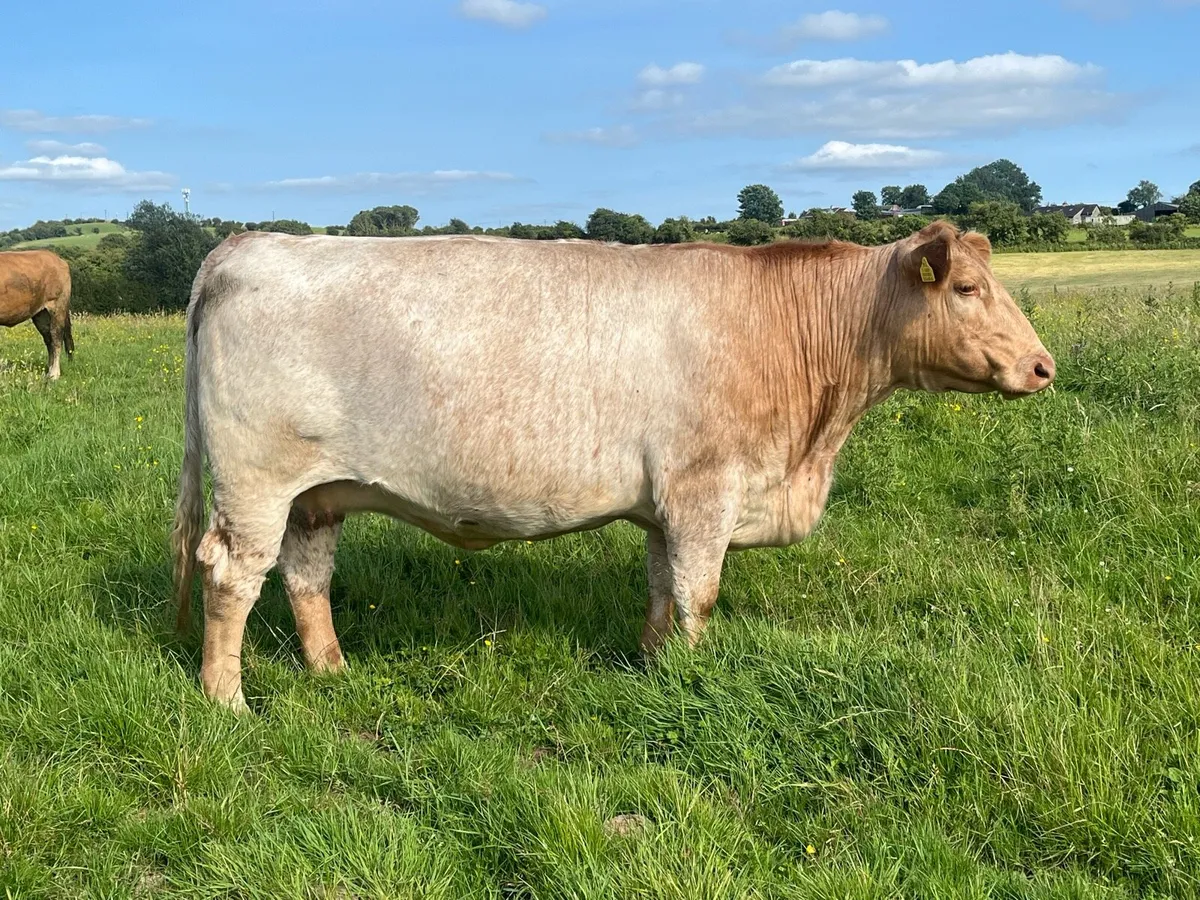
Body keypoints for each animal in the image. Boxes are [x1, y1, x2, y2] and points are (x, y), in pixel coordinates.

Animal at [0, 249, 74, 380]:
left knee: (56, 338)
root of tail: (57, 258)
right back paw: (48, 371)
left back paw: (54, 374)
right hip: (41, 314)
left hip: (58, 305)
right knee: (49, 339)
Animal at [171, 221, 1055, 712]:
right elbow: (700, 593)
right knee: (232, 577)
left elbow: (664, 588)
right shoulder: (705, 489)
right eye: (968, 289)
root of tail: (246, 243)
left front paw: (656, 666)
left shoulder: (670, 504)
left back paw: (332, 671)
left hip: (317, 492)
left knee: (305, 575)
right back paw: (227, 701)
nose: (1043, 366)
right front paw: (694, 677)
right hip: (256, 481)